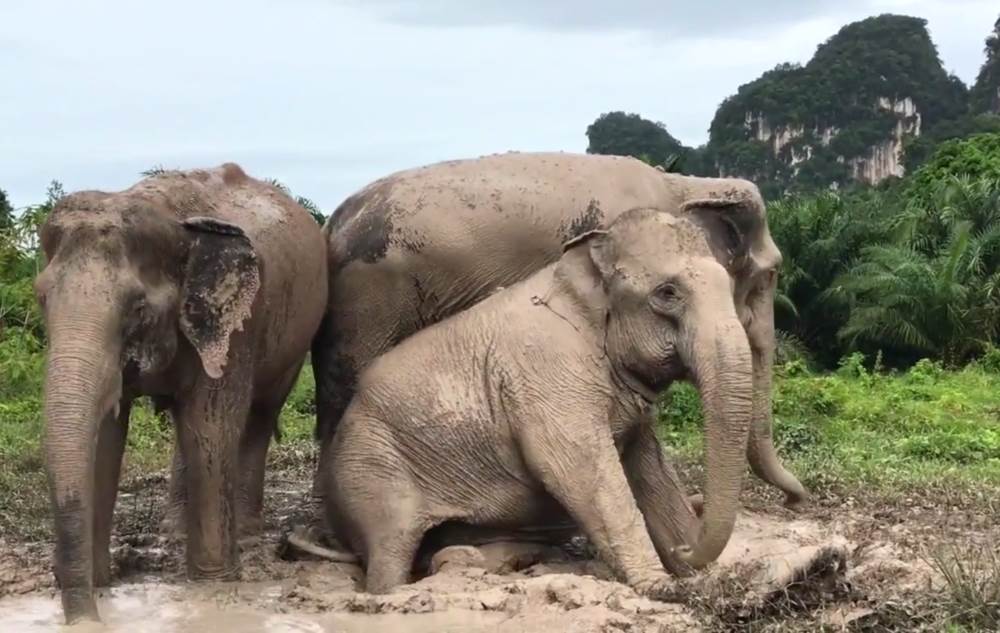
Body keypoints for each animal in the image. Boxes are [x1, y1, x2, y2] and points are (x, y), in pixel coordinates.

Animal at [35, 163, 328, 624]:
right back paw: (172, 531)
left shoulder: (237, 324)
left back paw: (245, 534)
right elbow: (107, 439)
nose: (86, 621)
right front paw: (102, 583)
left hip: (296, 337)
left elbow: (209, 428)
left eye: (137, 308)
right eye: (41, 299)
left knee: (259, 416)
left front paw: (212, 587)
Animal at [324, 207, 752, 596]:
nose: (685, 550)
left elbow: (650, 470)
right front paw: (659, 586)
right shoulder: (548, 369)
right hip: (370, 468)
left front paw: (700, 579)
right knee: (389, 550)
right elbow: (579, 468)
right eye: (667, 293)